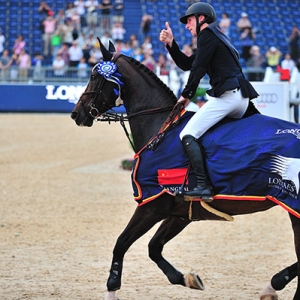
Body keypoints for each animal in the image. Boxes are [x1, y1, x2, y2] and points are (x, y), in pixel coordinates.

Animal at [71, 40, 300, 300]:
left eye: (93, 76)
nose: (76, 114)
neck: (160, 130)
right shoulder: (180, 212)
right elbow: (154, 248)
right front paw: (187, 279)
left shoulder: (152, 204)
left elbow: (121, 242)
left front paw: (111, 288)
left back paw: (274, 284)